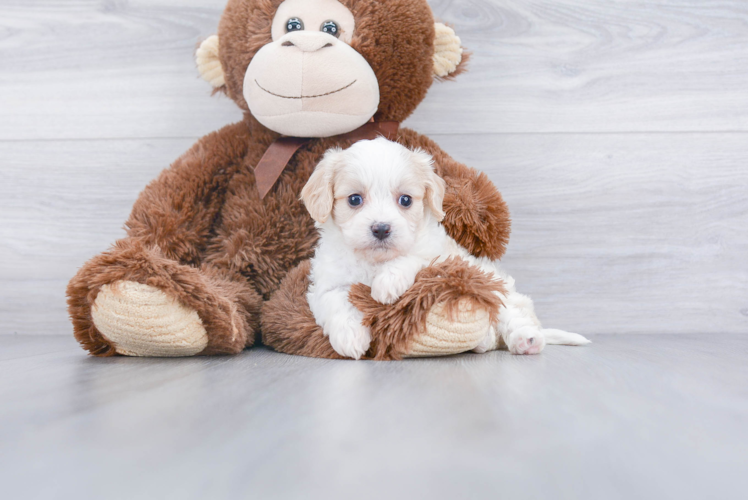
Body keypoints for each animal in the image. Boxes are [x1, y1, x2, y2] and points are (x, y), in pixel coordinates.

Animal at [300, 137, 592, 360]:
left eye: (405, 200)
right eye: (354, 199)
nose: (381, 228)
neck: (375, 261)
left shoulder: (442, 257)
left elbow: (414, 257)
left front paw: (388, 281)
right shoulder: (326, 282)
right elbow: (334, 300)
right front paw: (350, 338)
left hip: (499, 289)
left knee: (513, 315)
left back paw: (526, 339)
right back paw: (484, 342)